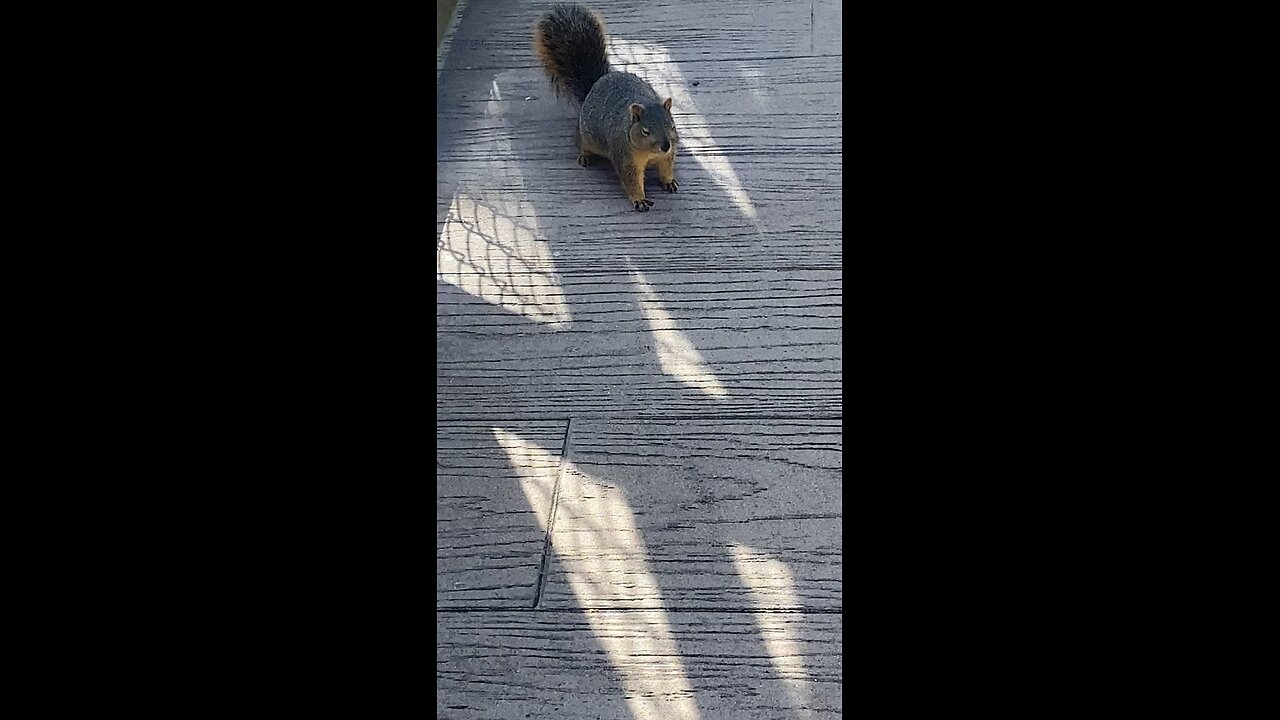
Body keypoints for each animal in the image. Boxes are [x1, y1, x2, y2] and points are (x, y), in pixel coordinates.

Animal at [533, 3, 679, 213]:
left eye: (672, 126)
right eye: (645, 130)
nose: (665, 145)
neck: (650, 153)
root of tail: (597, 82)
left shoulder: (667, 155)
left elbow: (666, 167)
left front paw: (669, 181)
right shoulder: (624, 157)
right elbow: (631, 181)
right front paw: (639, 199)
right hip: (586, 134)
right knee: (579, 141)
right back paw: (585, 155)